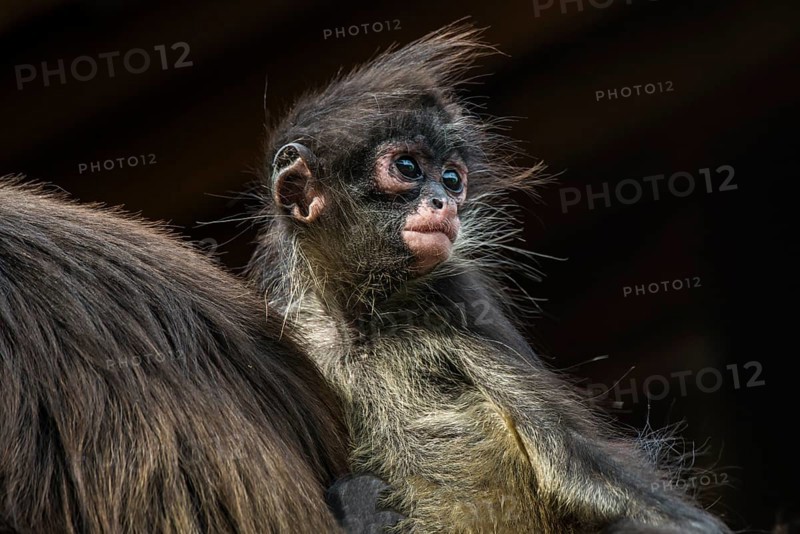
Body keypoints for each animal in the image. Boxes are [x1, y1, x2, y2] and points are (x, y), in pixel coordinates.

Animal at [248, 23, 733, 533]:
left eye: (451, 179)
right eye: (407, 168)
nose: (444, 203)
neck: (360, 319)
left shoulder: (455, 293)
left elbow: (574, 458)